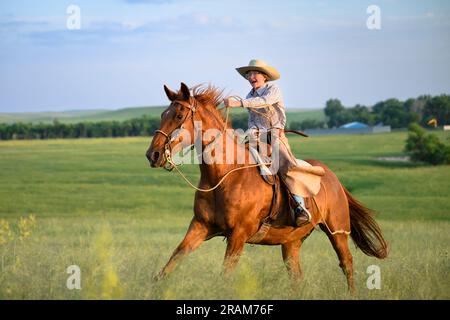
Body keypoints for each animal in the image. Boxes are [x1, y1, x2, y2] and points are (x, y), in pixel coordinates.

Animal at [146, 82, 388, 292]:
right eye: (162, 115)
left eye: (178, 116)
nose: (153, 155)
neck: (224, 176)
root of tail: (332, 178)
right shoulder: (200, 226)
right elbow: (171, 263)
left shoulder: (238, 235)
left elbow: (225, 276)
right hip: (291, 243)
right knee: (297, 276)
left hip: (337, 231)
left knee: (346, 263)